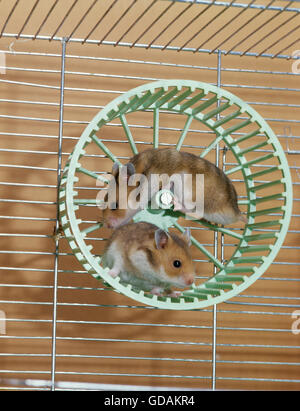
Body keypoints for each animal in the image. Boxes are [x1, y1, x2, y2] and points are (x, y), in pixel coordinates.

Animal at [101, 148, 246, 230]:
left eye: (115, 206)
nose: (107, 226)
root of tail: (236, 213)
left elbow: (166, 183)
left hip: (194, 197)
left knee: (196, 213)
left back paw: (176, 204)